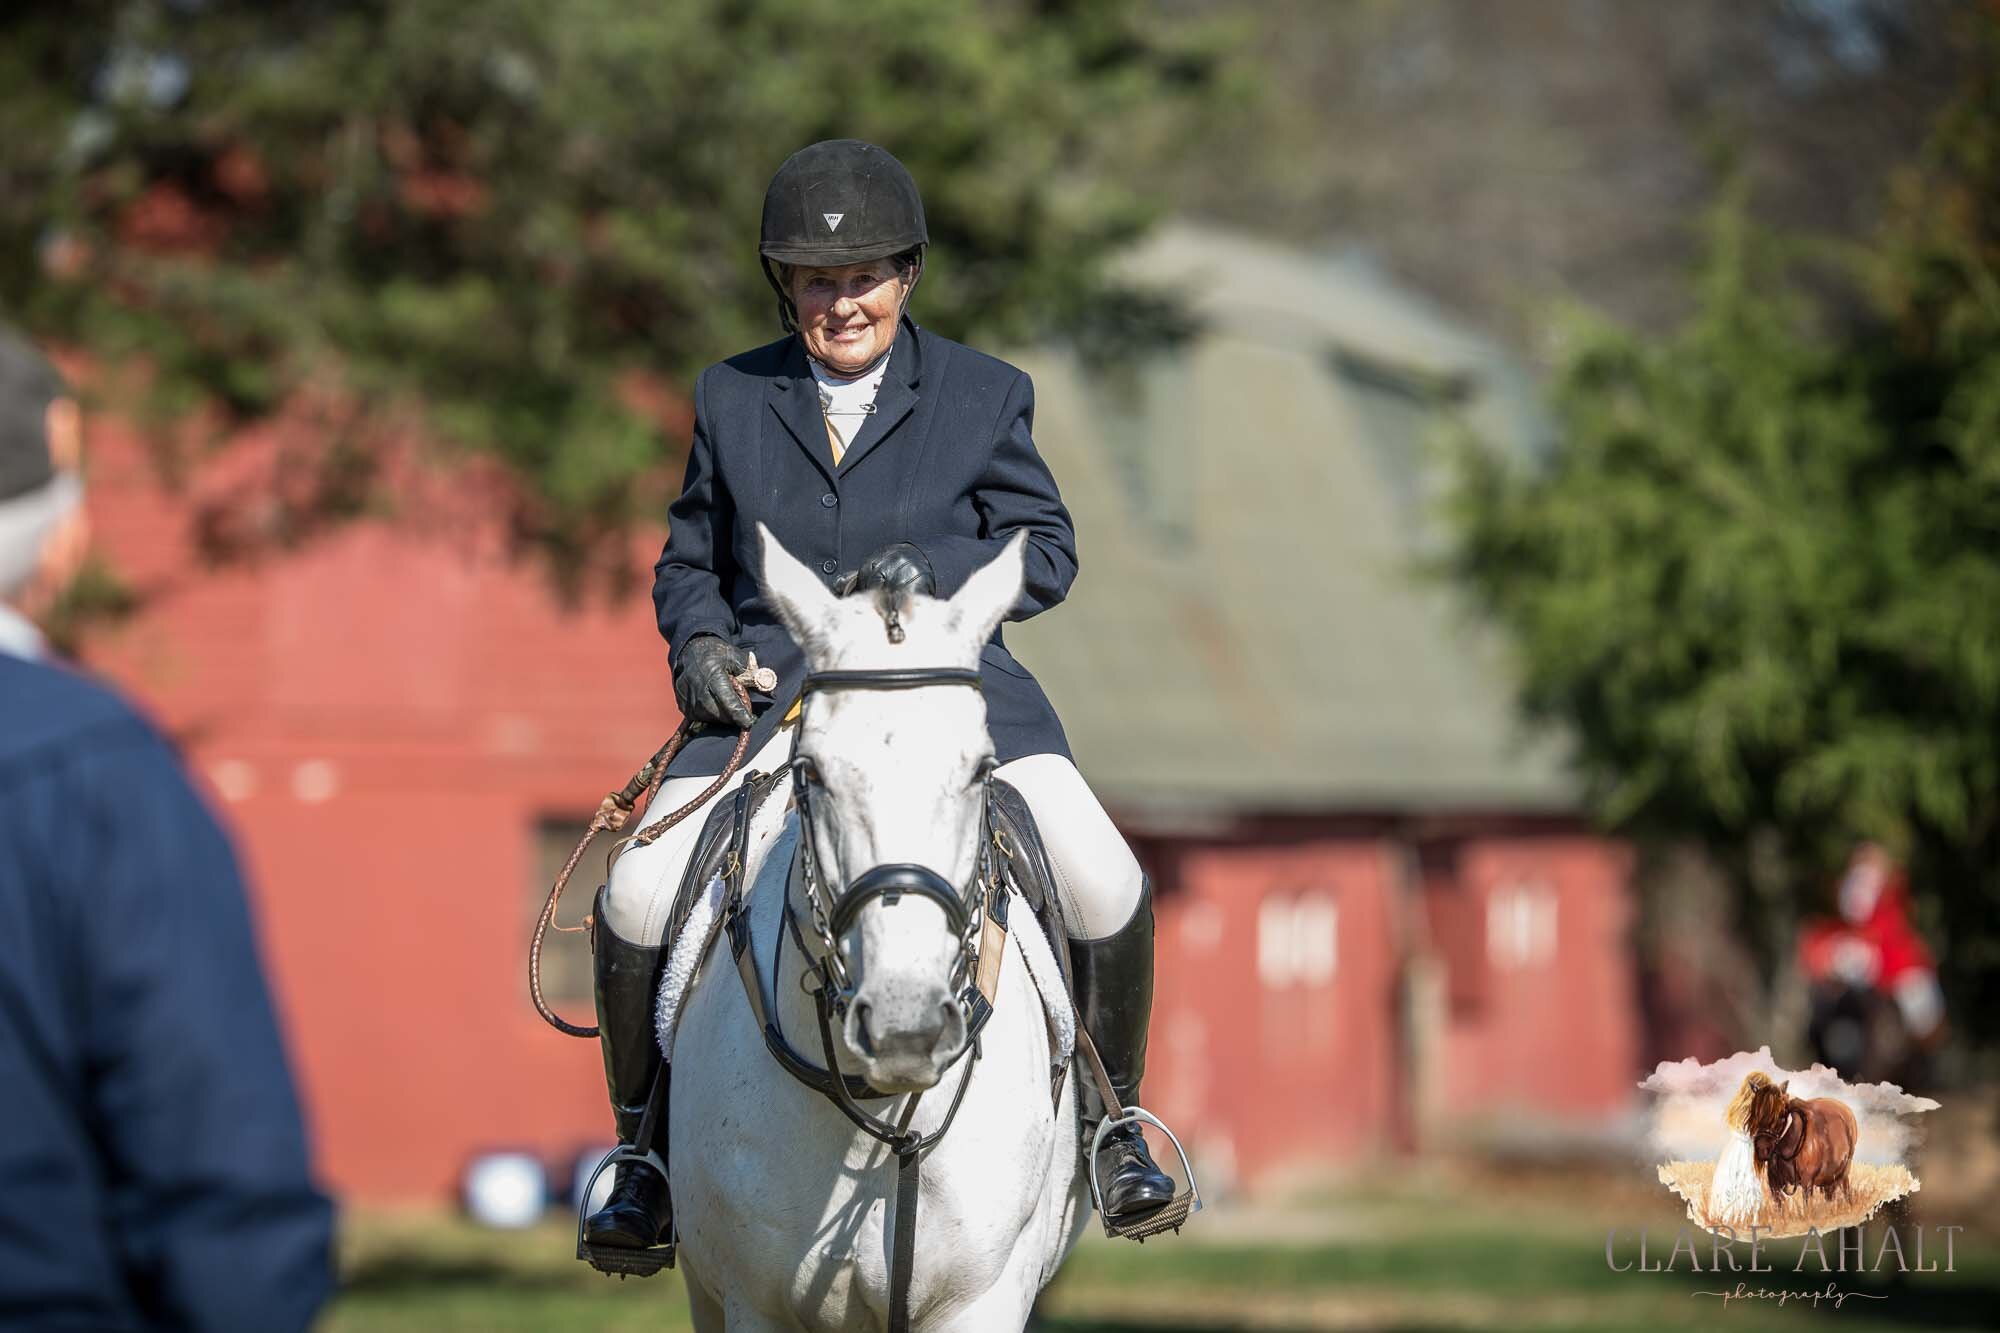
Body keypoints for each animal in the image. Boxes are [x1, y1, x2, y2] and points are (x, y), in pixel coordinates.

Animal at [1736, 1064, 1856, 1208]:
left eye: (1782, 1115)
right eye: (1754, 1113)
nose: (1762, 1149)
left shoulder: (1807, 1183)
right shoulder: (1775, 1186)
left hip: (1843, 1173)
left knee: (1846, 1192)